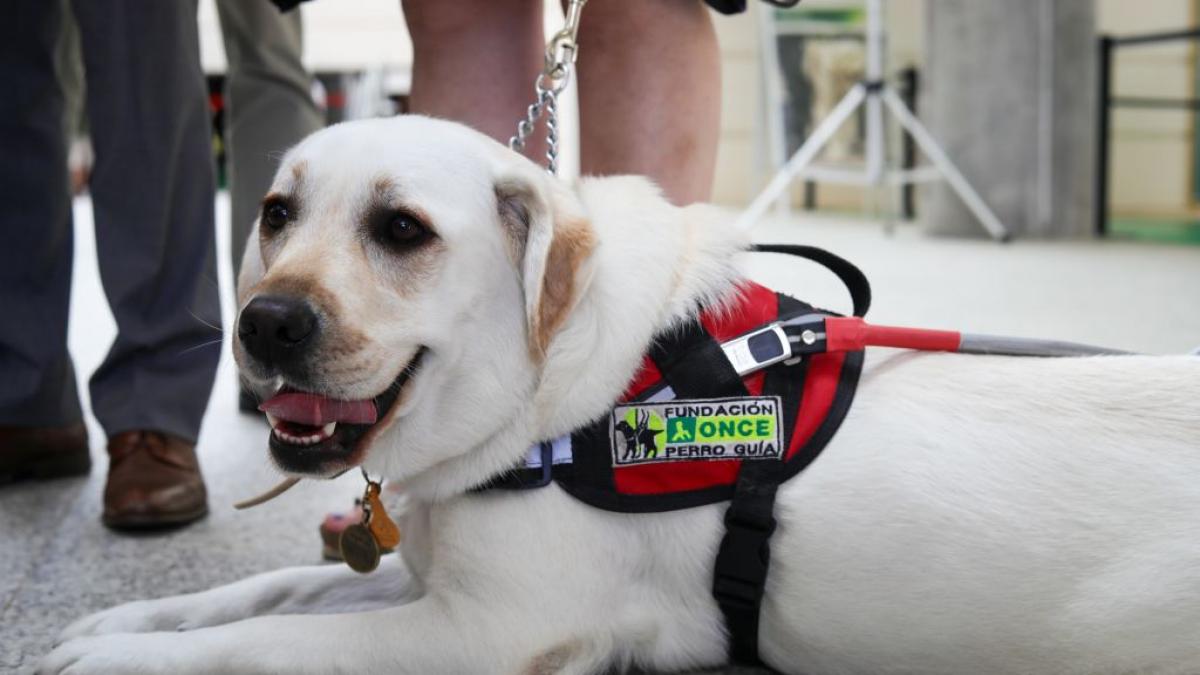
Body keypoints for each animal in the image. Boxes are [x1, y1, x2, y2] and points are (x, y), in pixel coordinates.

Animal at [42, 117, 1200, 672]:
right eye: (277, 212)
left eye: (402, 229)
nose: (264, 323)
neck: (551, 407)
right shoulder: (434, 585)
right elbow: (269, 591)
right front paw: (126, 619)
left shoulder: (486, 632)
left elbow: (268, 641)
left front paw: (118, 661)